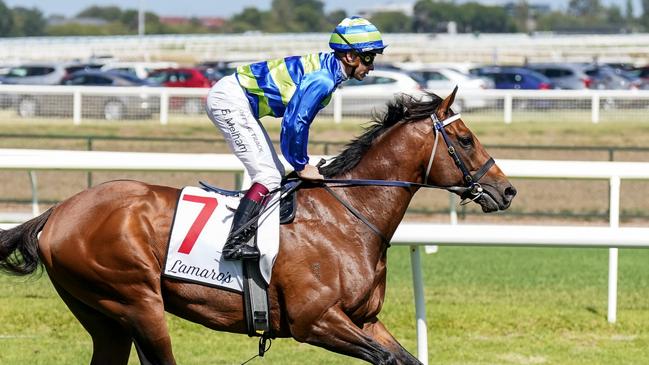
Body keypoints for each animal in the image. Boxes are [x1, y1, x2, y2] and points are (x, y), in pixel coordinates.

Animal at [1, 86, 516, 362]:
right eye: (465, 139)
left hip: (105, 318)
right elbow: (385, 357)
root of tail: (58, 212)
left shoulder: (364, 320)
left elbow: (403, 358)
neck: (347, 217)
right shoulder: (316, 321)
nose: (507, 190)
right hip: (135, 301)